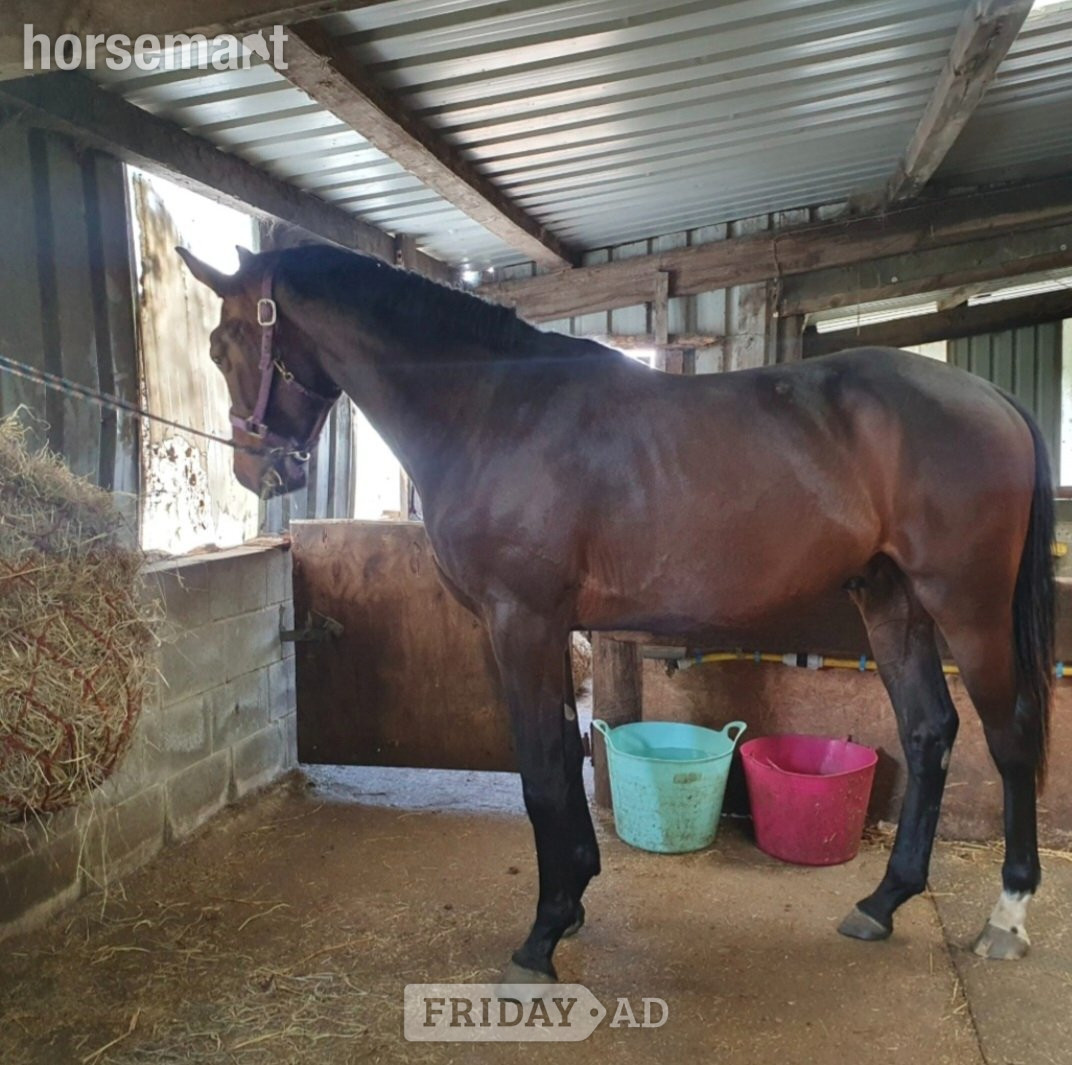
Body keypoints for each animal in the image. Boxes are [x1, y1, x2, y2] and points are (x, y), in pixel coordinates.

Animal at [178, 242, 1054, 984]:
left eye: (221, 344)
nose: (258, 471)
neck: (494, 407)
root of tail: (995, 398)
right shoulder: (545, 627)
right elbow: (563, 761)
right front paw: (571, 904)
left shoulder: (521, 621)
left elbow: (541, 772)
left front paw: (540, 937)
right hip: (891, 599)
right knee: (931, 729)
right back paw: (883, 900)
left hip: (968, 606)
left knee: (1009, 736)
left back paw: (1009, 915)